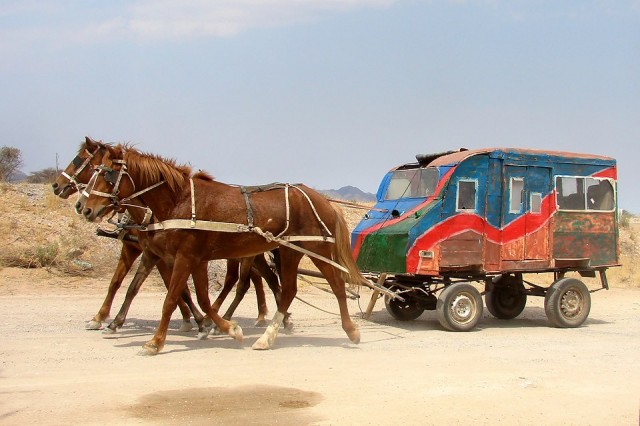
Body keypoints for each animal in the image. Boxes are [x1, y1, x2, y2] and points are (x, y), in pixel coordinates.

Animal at [77, 144, 366, 354]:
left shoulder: (185, 257)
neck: (179, 202)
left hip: (315, 247)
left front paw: (155, 342)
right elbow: (194, 296)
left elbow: (171, 299)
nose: (85, 208)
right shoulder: (179, 256)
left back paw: (347, 330)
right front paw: (225, 327)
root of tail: (324, 200)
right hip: (288, 251)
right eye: (92, 169)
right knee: (290, 290)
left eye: (106, 173)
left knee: (332, 285)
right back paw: (271, 335)